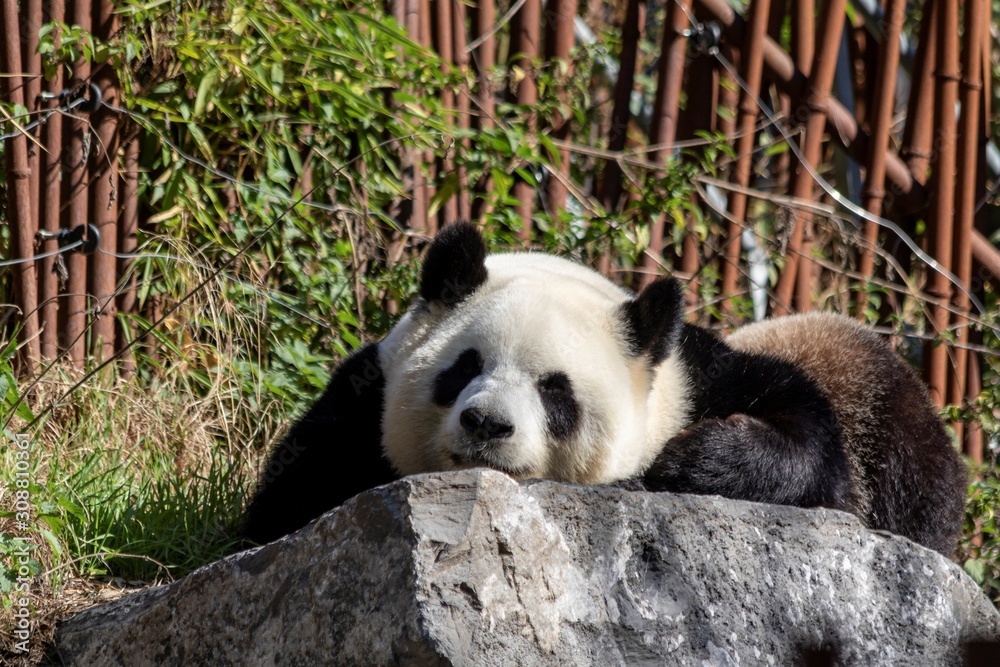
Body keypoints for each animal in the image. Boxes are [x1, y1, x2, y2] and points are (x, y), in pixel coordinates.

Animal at [241, 222, 967, 555]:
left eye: (555, 391)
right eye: (464, 367)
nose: (487, 424)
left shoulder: (699, 375)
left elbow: (814, 452)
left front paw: (692, 460)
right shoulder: (359, 404)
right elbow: (285, 506)